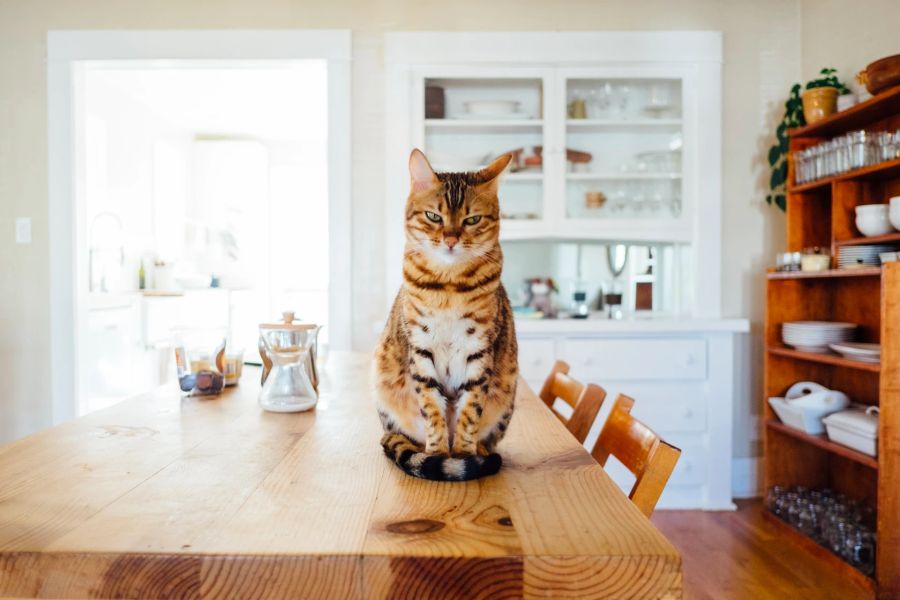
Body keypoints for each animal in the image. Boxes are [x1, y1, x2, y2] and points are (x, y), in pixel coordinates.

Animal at [374, 150, 520, 482]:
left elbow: (470, 412)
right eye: (433, 217)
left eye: (472, 219)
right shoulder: (421, 348)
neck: (449, 286)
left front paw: (464, 455)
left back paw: (480, 452)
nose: (451, 239)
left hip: (507, 395)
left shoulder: (479, 351)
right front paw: (438, 454)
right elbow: (432, 409)